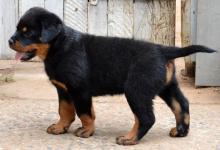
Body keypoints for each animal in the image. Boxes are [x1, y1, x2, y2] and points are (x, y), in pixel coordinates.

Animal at [9, 7, 215, 145]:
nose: (10, 41)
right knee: (181, 104)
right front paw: (60, 127)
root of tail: (163, 50)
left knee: (146, 117)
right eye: (18, 29)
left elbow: (84, 113)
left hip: (136, 90)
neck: (58, 46)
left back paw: (129, 138)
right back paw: (180, 131)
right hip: (166, 86)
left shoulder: (79, 90)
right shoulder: (64, 90)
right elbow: (65, 111)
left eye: (28, 32)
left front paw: (86, 131)